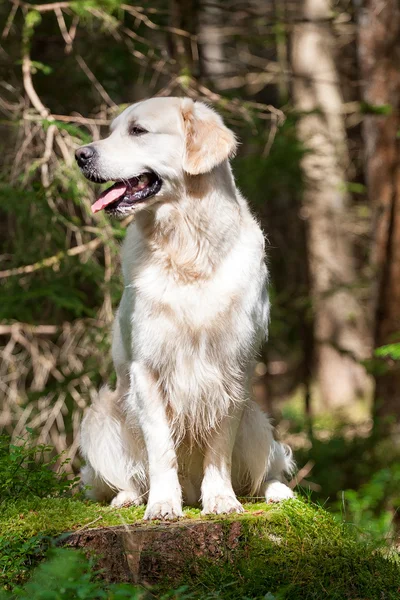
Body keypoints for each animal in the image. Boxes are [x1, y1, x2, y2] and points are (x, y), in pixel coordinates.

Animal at [76, 96, 294, 516]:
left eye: (138, 131)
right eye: (112, 131)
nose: (80, 154)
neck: (187, 248)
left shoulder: (234, 369)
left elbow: (219, 447)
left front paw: (221, 498)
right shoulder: (146, 368)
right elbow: (161, 449)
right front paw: (163, 504)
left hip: (258, 422)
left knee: (267, 469)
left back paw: (276, 491)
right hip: (99, 418)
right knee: (120, 480)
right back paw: (129, 498)